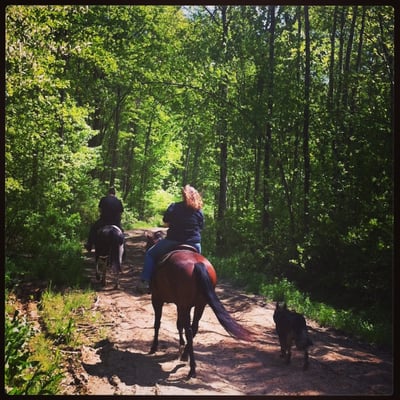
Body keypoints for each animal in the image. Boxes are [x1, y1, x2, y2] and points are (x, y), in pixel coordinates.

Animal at [145, 231, 255, 378]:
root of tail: (197, 264)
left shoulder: (157, 299)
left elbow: (157, 323)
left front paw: (153, 347)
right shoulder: (180, 304)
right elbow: (178, 324)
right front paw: (181, 345)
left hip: (185, 305)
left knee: (190, 330)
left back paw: (192, 368)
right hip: (199, 305)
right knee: (194, 328)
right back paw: (186, 356)